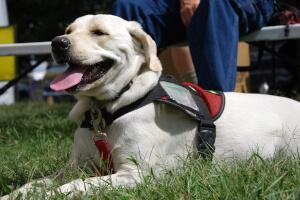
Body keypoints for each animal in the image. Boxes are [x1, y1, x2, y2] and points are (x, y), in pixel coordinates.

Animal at [3, 14, 300, 198]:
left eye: (99, 32)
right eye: (68, 32)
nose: (57, 43)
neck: (106, 110)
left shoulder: (136, 174)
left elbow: (74, 186)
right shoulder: (76, 166)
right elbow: (36, 182)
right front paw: (14, 194)